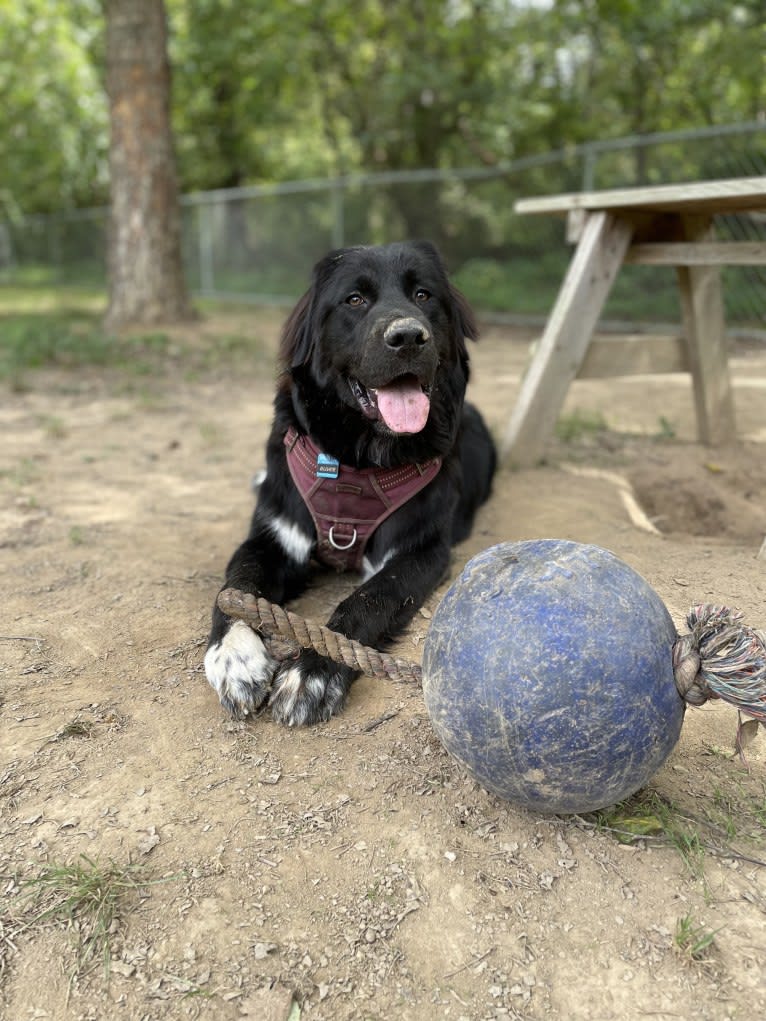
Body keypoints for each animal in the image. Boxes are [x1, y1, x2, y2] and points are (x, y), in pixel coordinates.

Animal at [205, 240, 498, 726]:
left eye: (423, 295)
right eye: (355, 300)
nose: (408, 337)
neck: (356, 462)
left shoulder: (421, 552)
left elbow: (367, 600)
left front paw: (314, 670)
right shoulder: (274, 534)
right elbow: (237, 585)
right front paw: (235, 656)